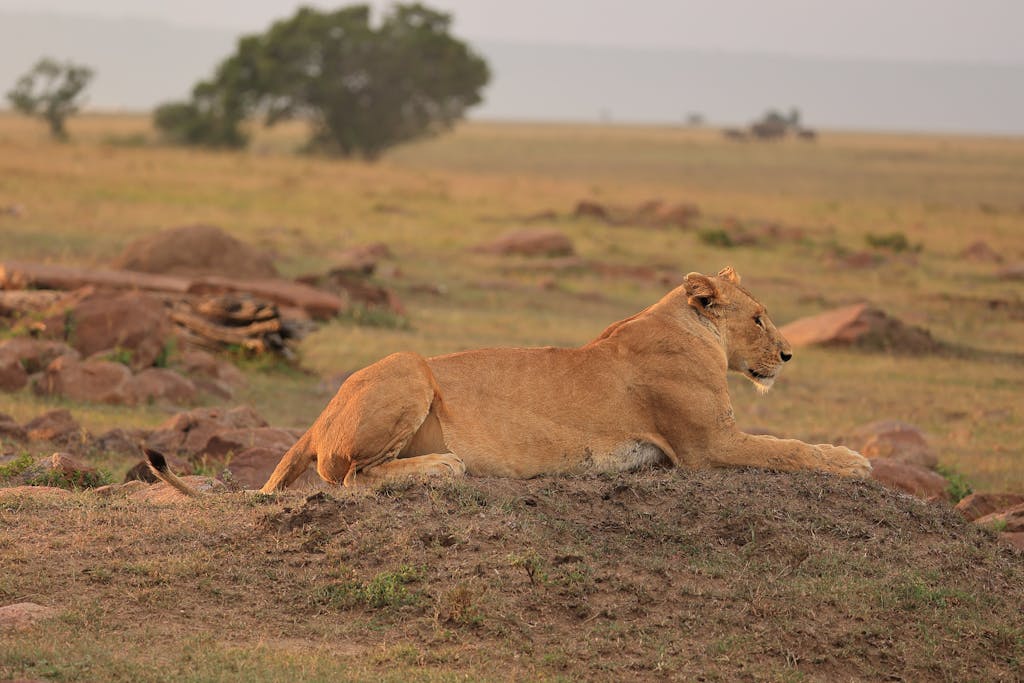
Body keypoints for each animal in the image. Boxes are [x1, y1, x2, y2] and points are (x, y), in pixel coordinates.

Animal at [148, 264, 868, 493]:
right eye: (759, 318)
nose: (788, 356)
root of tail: (323, 410)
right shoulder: (707, 446)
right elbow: (793, 449)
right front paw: (855, 461)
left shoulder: (704, 443)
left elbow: (788, 444)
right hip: (409, 365)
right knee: (345, 476)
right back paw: (442, 467)